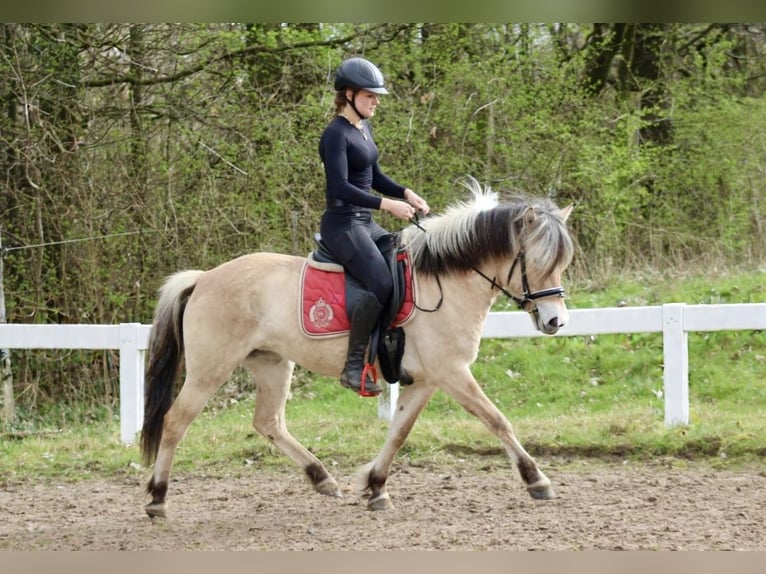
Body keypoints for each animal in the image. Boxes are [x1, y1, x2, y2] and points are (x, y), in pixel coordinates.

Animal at [140, 177, 575, 518]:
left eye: (562, 264)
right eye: (538, 263)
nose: (556, 322)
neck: (444, 283)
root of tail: (204, 278)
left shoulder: (426, 380)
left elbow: (399, 431)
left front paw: (376, 486)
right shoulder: (451, 372)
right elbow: (496, 419)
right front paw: (536, 479)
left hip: (272, 364)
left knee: (268, 422)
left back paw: (322, 479)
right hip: (209, 370)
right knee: (175, 422)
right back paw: (158, 498)